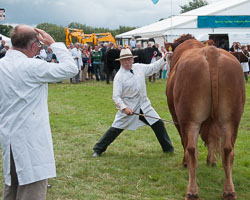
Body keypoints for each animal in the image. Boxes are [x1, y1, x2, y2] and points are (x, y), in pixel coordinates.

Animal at [165, 34, 245, 200]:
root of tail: (211, 51)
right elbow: (211, 140)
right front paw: (211, 161)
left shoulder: (177, 118)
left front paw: (185, 163)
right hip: (232, 119)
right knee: (228, 149)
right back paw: (229, 191)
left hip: (189, 119)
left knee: (190, 148)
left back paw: (192, 191)